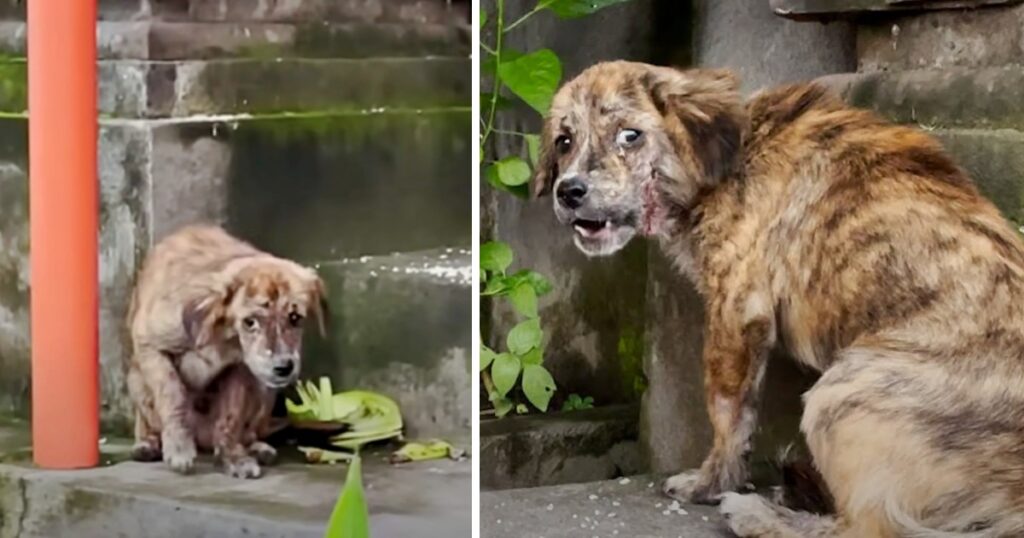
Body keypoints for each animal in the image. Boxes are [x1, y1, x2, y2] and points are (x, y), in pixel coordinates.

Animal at [125, 224, 323, 475]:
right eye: (250, 322)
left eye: (295, 318)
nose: (284, 368)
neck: (222, 336)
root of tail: (203, 439)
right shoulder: (150, 345)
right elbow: (172, 394)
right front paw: (179, 447)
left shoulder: (241, 369)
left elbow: (231, 416)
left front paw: (233, 457)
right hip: (136, 380)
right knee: (146, 423)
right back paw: (147, 444)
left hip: (263, 388)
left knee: (249, 432)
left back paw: (257, 448)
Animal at [532, 60, 1024, 532]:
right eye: (564, 141)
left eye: (629, 135)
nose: (568, 192)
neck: (731, 160)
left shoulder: (736, 311)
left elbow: (728, 414)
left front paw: (709, 484)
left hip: (840, 393)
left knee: (871, 527)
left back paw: (758, 516)